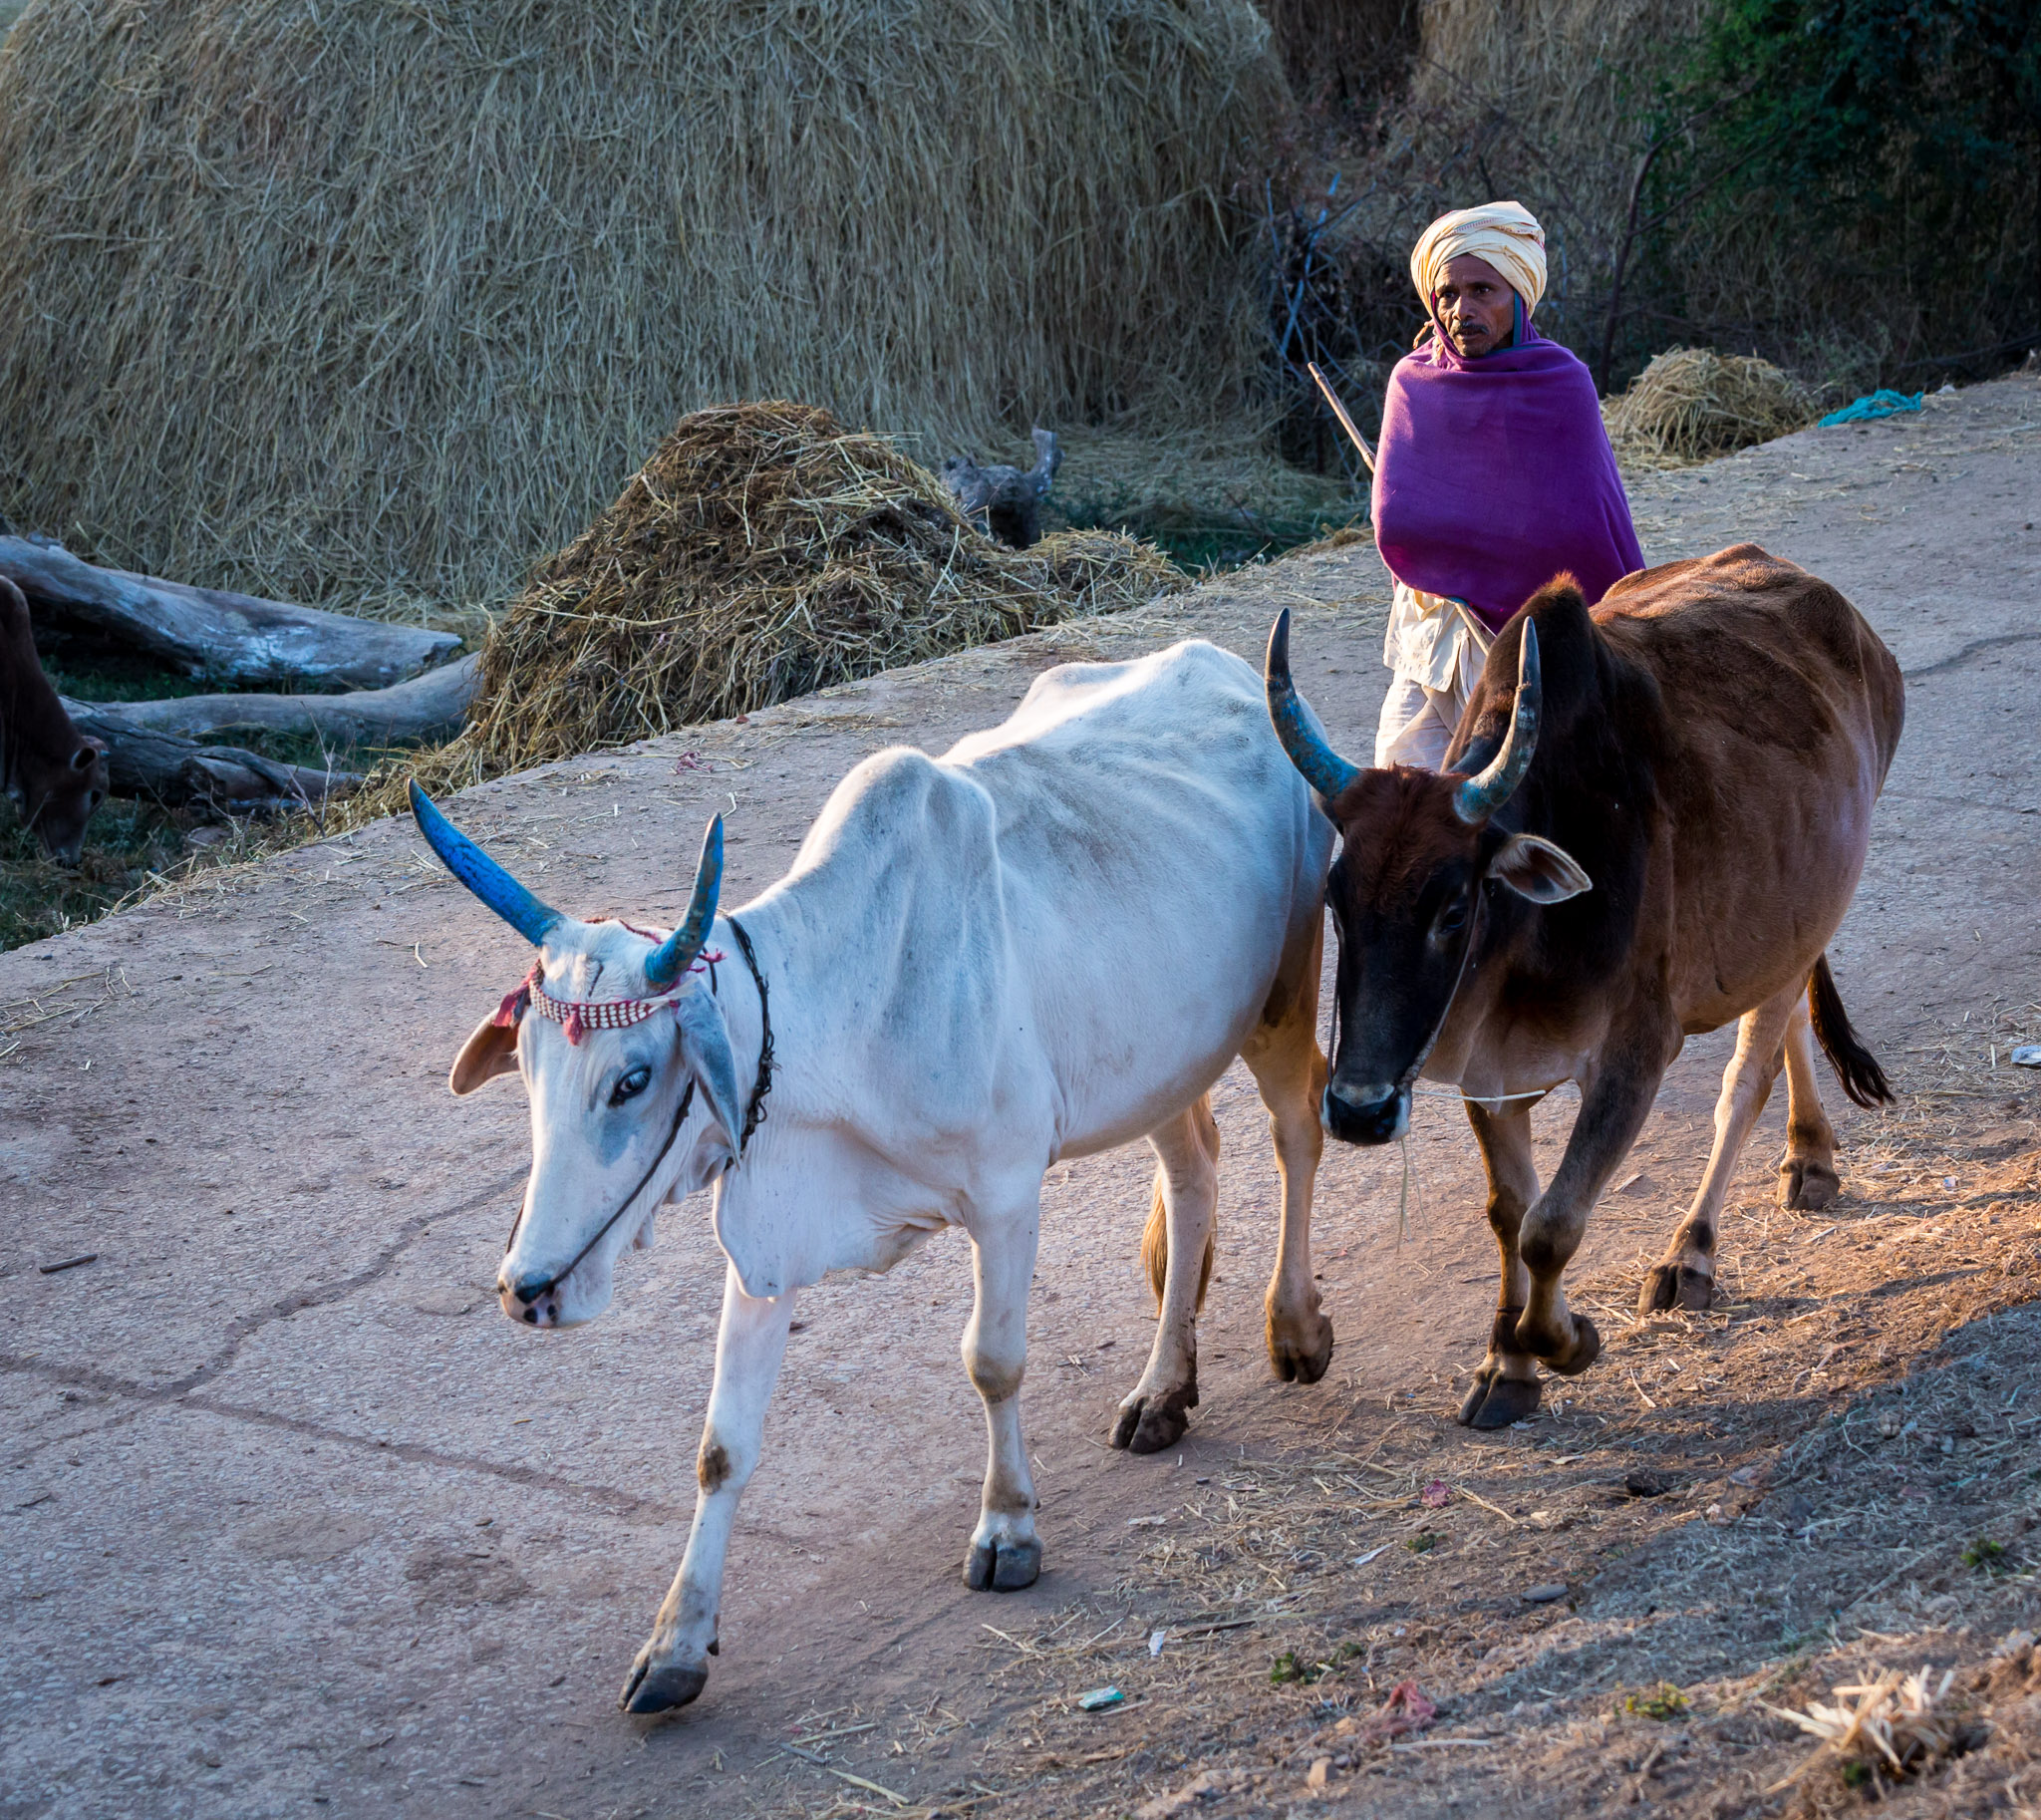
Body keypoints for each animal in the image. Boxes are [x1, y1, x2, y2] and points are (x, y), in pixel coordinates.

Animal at [414, 644, 1338, 1721]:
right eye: (525, 1066)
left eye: (633, 1077)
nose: (527, 1288)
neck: (842, 1013)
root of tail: (1224, 665)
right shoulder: (767, 1247)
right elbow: (722, 1444)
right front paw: (676, 1643)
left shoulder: (1006, 1197)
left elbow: (993, 1362)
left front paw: (1008, 1529)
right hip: (1160, 1060)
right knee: (1193, 1172)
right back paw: (1161, 1389)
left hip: (1280, 996)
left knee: (1296, 1130)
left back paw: (1294, 1327)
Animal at [1265, 546, 1901, 1427]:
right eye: (1334, 898)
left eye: (1453, 907)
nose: (1360, 1111)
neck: (1532, 937)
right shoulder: (1490, 1072)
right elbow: (1510, 1215)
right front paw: (1506, 1365)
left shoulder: (1633, 1059)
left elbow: (1552, 1226)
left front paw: (1565, 1344)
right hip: (1788, 914)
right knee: (1789, 1021)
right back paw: (1810, 1158)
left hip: (1809, 909)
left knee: (1748, 1078)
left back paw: (1693, 1252)